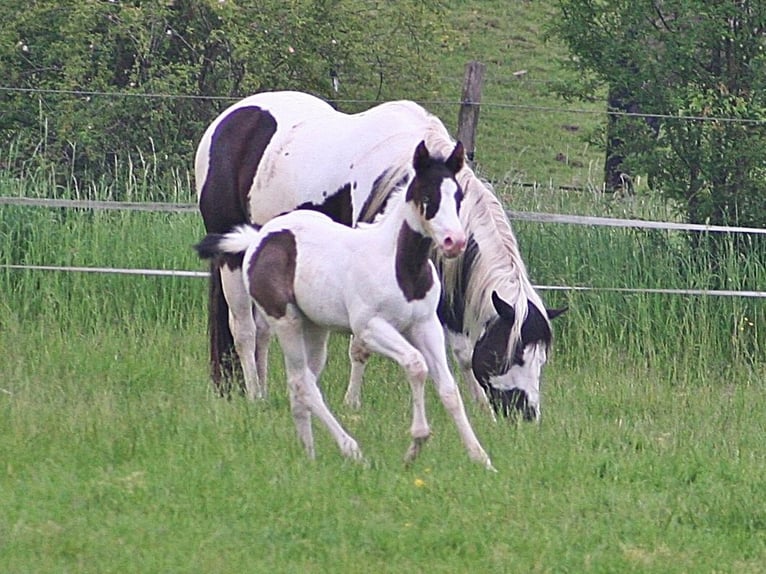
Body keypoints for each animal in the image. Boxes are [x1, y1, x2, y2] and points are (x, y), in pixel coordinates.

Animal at [194, 91, 564, 424]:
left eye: (541, 359)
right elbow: (361, 345)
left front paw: (482, 410)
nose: (526, 415)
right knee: (243, 329)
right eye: (507, 354)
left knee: (263, 330)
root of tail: (226, 121)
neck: (403, 176)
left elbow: (461, 349)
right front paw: (352, 404)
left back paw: (265, 390)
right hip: (231, 257)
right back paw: (254, 395)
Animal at [195, 142, 496, 470]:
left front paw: (481, 458)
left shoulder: (425, 325)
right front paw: (416, 442)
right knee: (303, 383)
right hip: (286, 322)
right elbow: (416, 365)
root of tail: (260, 237)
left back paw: (309, 453)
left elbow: (449, 389)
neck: (400, 266)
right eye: (427, 197)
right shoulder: (369, 328)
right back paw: (351, 449)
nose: (455, 242)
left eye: (458, 197)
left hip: (314, 328)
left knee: (301, 383)